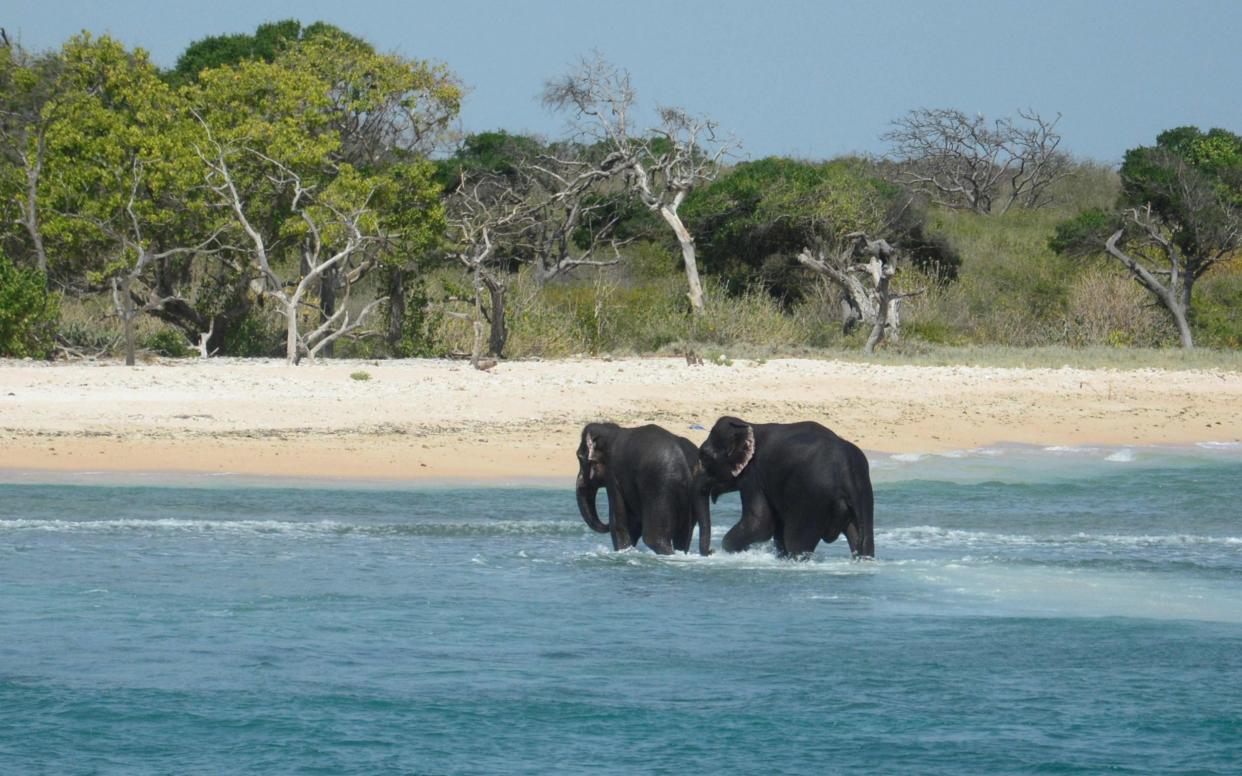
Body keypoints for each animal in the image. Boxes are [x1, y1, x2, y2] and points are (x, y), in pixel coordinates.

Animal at [571, 419, 710, 553]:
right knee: (683, 539)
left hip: (659, 487)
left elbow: (620, 522)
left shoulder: (613, 474)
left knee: (654, 539)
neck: (612, 431)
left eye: (580, 457)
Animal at [700, 417, 874, 556]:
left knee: (796, 543)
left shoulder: (753, 475)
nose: (710, 551)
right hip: (863, 492)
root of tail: (846, 471)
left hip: (812, 500)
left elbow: (760, 524)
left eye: (704, 456)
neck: (749, 425)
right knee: (863, 541)